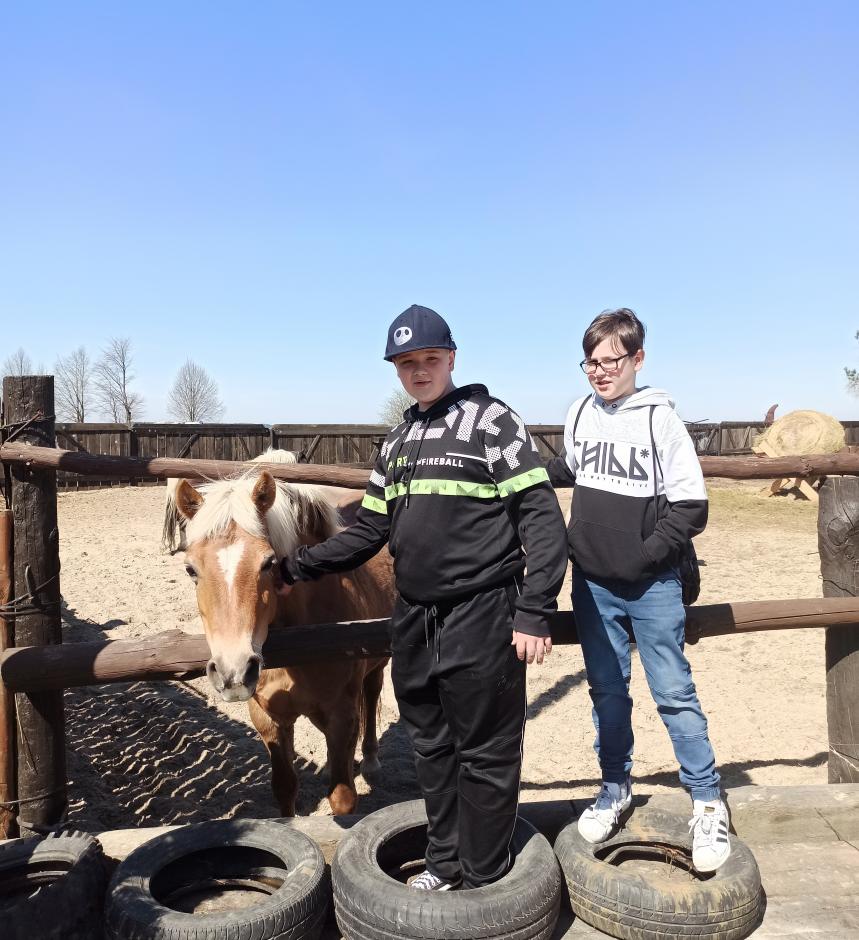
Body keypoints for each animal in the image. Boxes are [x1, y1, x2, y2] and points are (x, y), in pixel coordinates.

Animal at [173, 465, 394, 816]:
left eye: (268, 563)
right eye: (190, 569)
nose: (233, 673)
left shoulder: (342, 718)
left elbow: (343, 799)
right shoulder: (268, 720)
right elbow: (285, 789)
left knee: (372, 693)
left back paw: (371, 759)